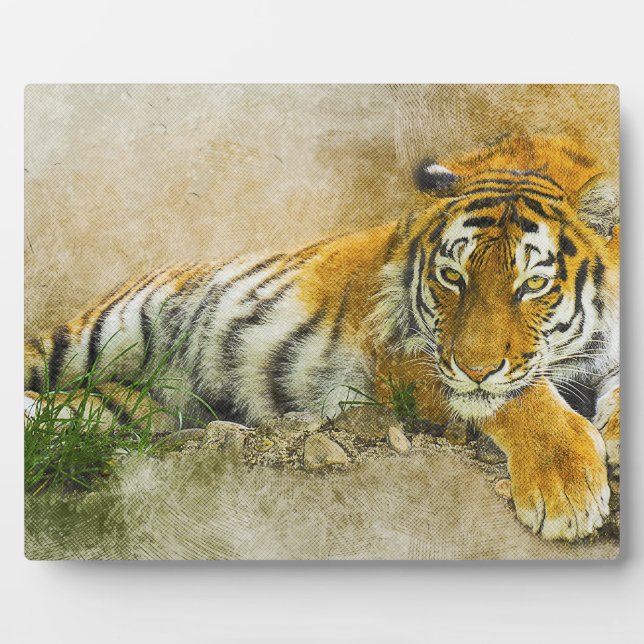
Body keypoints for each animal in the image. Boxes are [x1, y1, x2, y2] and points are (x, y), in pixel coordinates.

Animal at [24, 134, 620, 541]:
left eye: (534, 284)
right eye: (453, 276)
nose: (474, 367)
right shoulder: (405, 357)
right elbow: (518, 398)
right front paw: (567, 488)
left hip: (138, 407)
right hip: (97, 336)